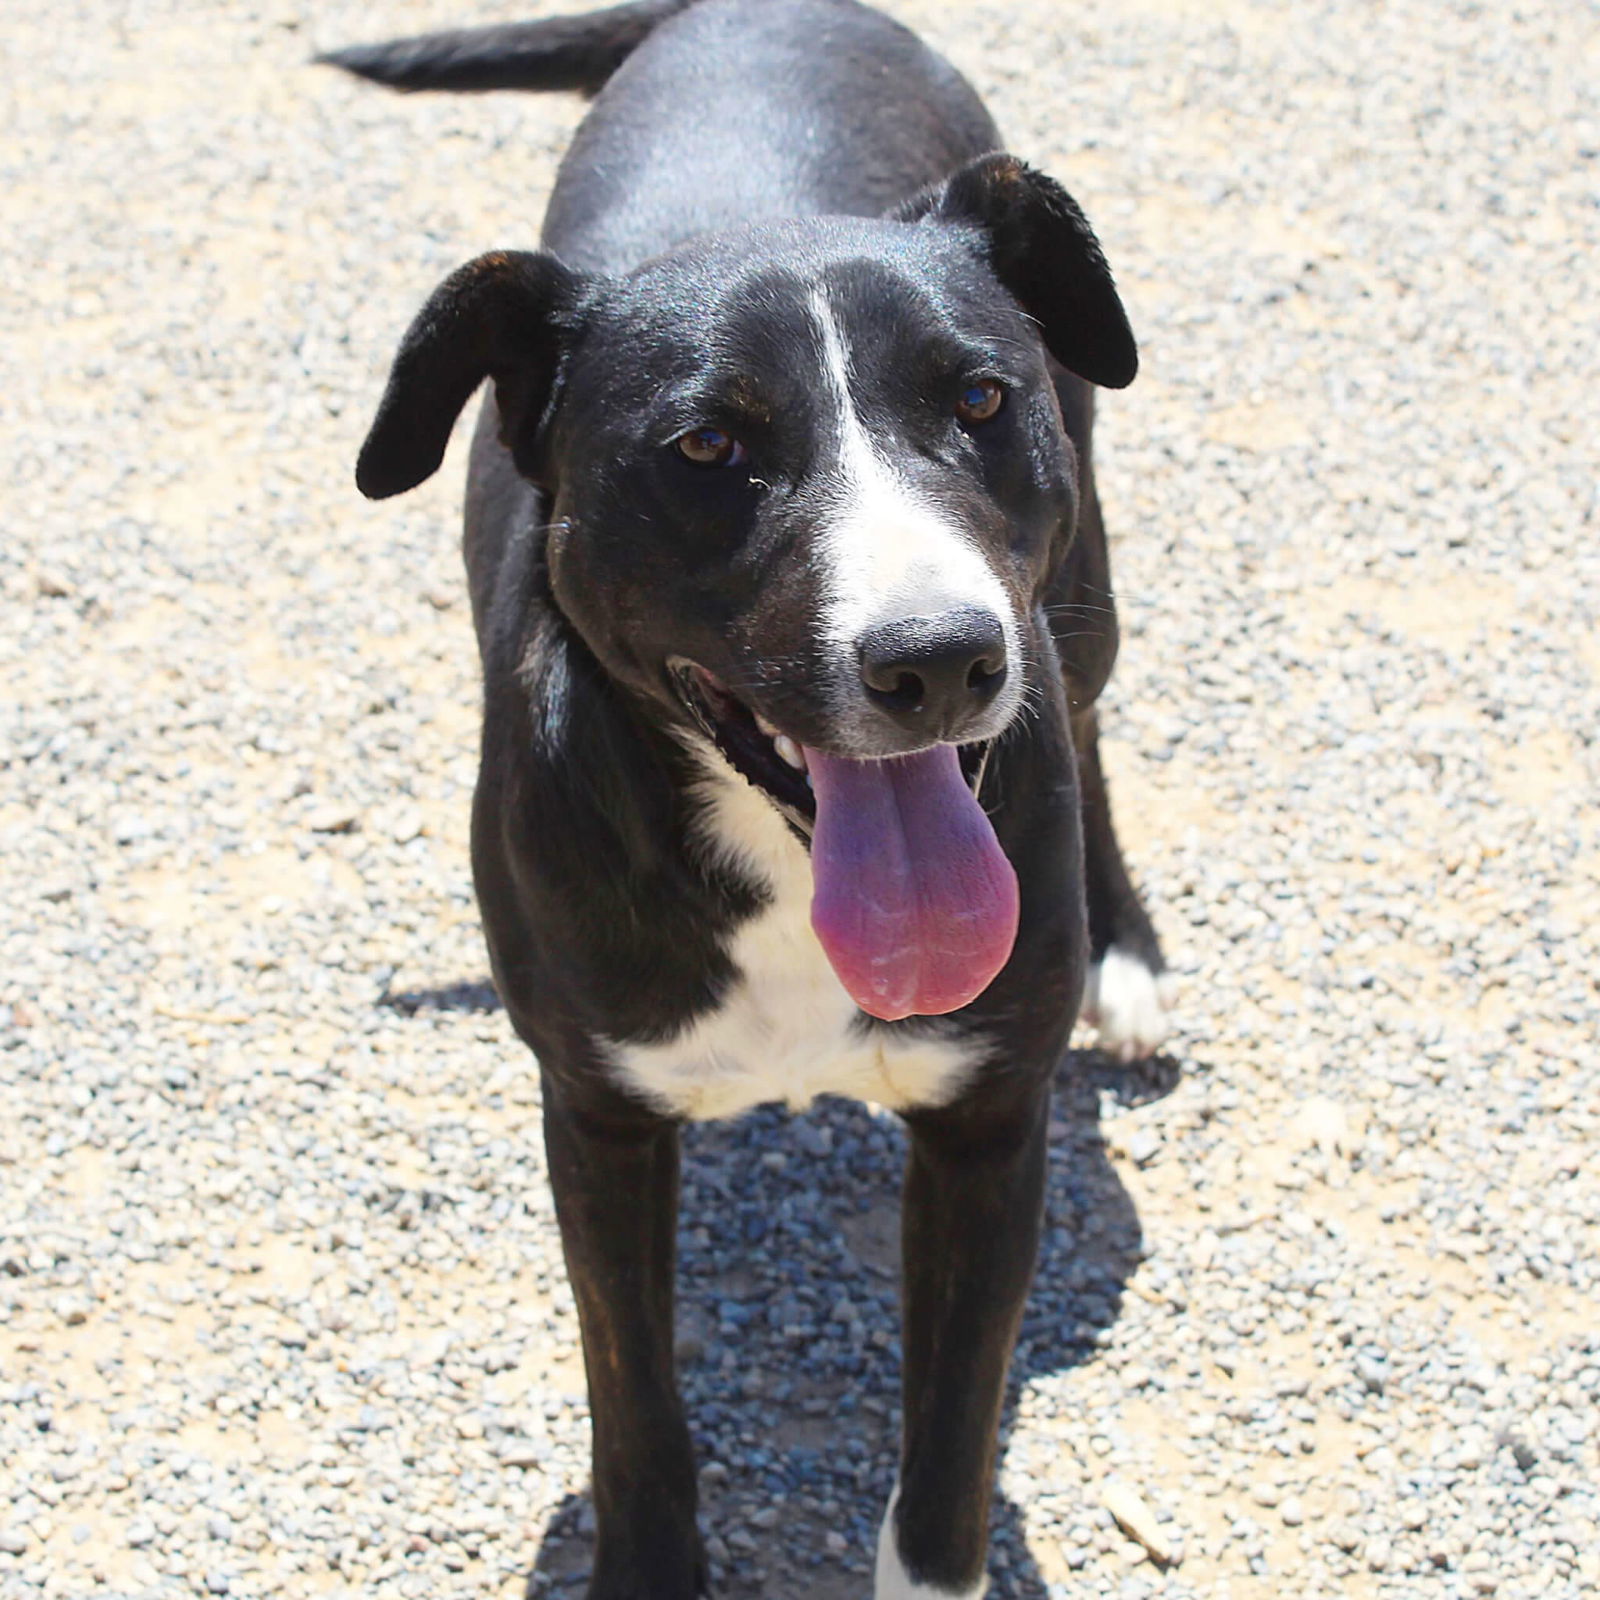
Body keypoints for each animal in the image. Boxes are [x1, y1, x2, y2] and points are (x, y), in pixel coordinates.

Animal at [324, 6, 1171, 1593]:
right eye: (707, 448)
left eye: (978, 399)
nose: (940, 660)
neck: (779, 874)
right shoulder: (596, 1117)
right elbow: (635, 1411)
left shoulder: (988, 1129)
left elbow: (946, 1467)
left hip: (1081, 591)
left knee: (1087, 723)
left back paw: (1128, 954)